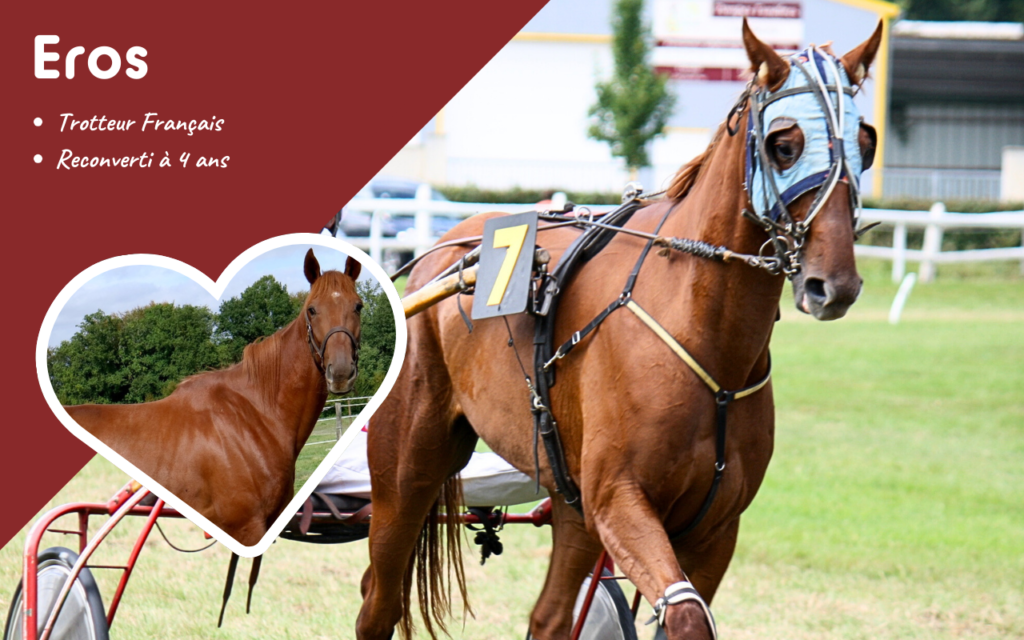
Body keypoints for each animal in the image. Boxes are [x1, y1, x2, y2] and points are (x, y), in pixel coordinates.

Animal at [357, 19, 882, 640]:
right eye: (784, 145)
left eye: (866, 143)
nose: (835, 283)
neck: (708, 342)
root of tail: (441, 251)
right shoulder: (619, 500)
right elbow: (684, 615)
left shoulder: (713, 528)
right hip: (407, 471)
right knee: (378, 597)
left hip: (568, 494)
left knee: (549, 615)